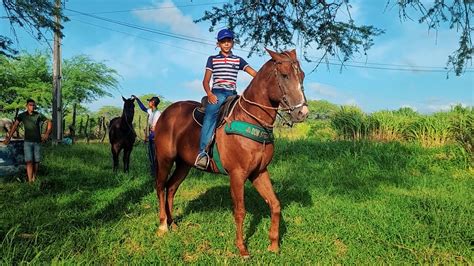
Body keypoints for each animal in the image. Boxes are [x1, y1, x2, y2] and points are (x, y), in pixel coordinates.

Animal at [152, 48, 308, 256]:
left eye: (302, 75)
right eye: (284, 75)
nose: (303, 113)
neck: (250, 119)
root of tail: (165, 113)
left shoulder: (259, 172)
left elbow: (275, 204)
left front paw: (274, 245)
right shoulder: (237, 174)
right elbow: (240, 211)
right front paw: (242, 248)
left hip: (184, 164)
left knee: (171, 188)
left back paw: (173, 224)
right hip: (165, 159)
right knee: (160, 186)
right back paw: (163, 225)